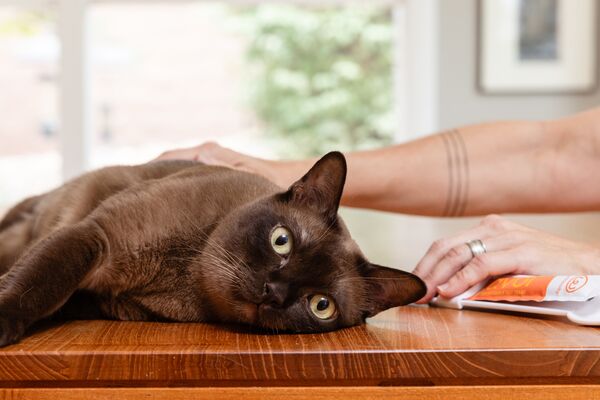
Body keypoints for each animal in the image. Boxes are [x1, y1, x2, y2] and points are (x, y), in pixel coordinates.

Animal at [0, 152, 424, 346]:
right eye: (281, 240)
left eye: (322, 305)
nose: (273, 293)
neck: (183, 277)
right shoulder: (95, 238)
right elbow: (36, 287)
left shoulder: (105, 296)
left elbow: (49, 292)